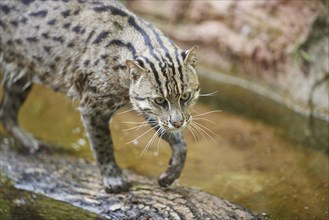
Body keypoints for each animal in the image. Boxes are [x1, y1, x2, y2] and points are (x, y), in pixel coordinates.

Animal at [0, 0, 199, 192]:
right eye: (159, 100)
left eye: (186, 96)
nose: (178, 122)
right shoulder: (92, 107)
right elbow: (103, 144)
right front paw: (113, 178)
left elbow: (177, 140)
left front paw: (172, 172)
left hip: (21, 74)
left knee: (7, 112)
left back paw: (30, 143)